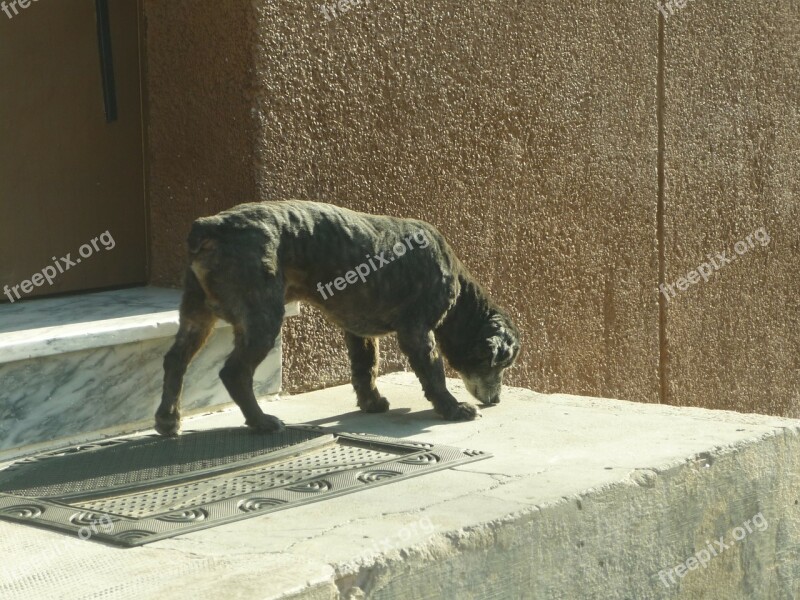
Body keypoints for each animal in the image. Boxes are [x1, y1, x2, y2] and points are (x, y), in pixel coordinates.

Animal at [155, 202, 520, 436]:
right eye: (502, 364)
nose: (498, 399)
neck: (459, 295)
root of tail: (210, 226)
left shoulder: (359, 332)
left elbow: (365, 368)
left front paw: (371, 402)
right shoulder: (417, 332)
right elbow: (433, 374)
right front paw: (452, 409)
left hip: (197, 315)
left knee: (175, 361)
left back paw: (168, 421)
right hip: (262, 317)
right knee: (234, 373)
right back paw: (261, 422)